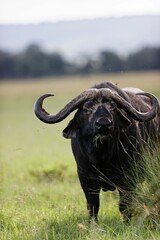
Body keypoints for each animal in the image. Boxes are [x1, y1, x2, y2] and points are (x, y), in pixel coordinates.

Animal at [34, 82, 159, 221]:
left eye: (112, 107)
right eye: (87, 108)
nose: (104, 124)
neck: (102, 156)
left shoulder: (128, 177)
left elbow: (124, 204)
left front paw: (126, 222)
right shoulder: (85, 176)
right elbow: (93, 205)